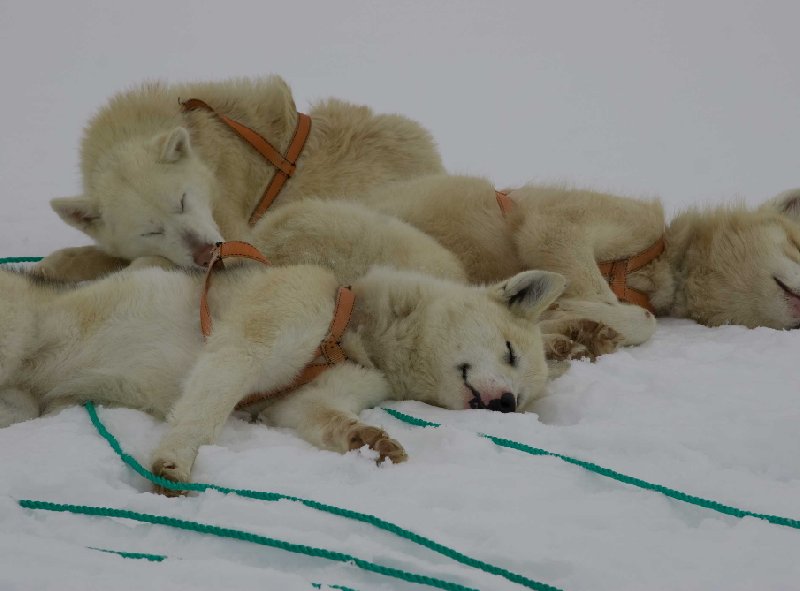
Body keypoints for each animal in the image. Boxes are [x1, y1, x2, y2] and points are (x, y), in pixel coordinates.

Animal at [0, 262, 564, 488]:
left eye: (524, 400)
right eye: (511, 352)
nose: (507, 404)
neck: (352, 334)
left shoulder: (298, 400)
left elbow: (322, 417)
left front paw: (372, 440)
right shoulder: (252, 338)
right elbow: (205, 413)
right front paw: (174, 462)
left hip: (19, 406)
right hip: (14, 332)